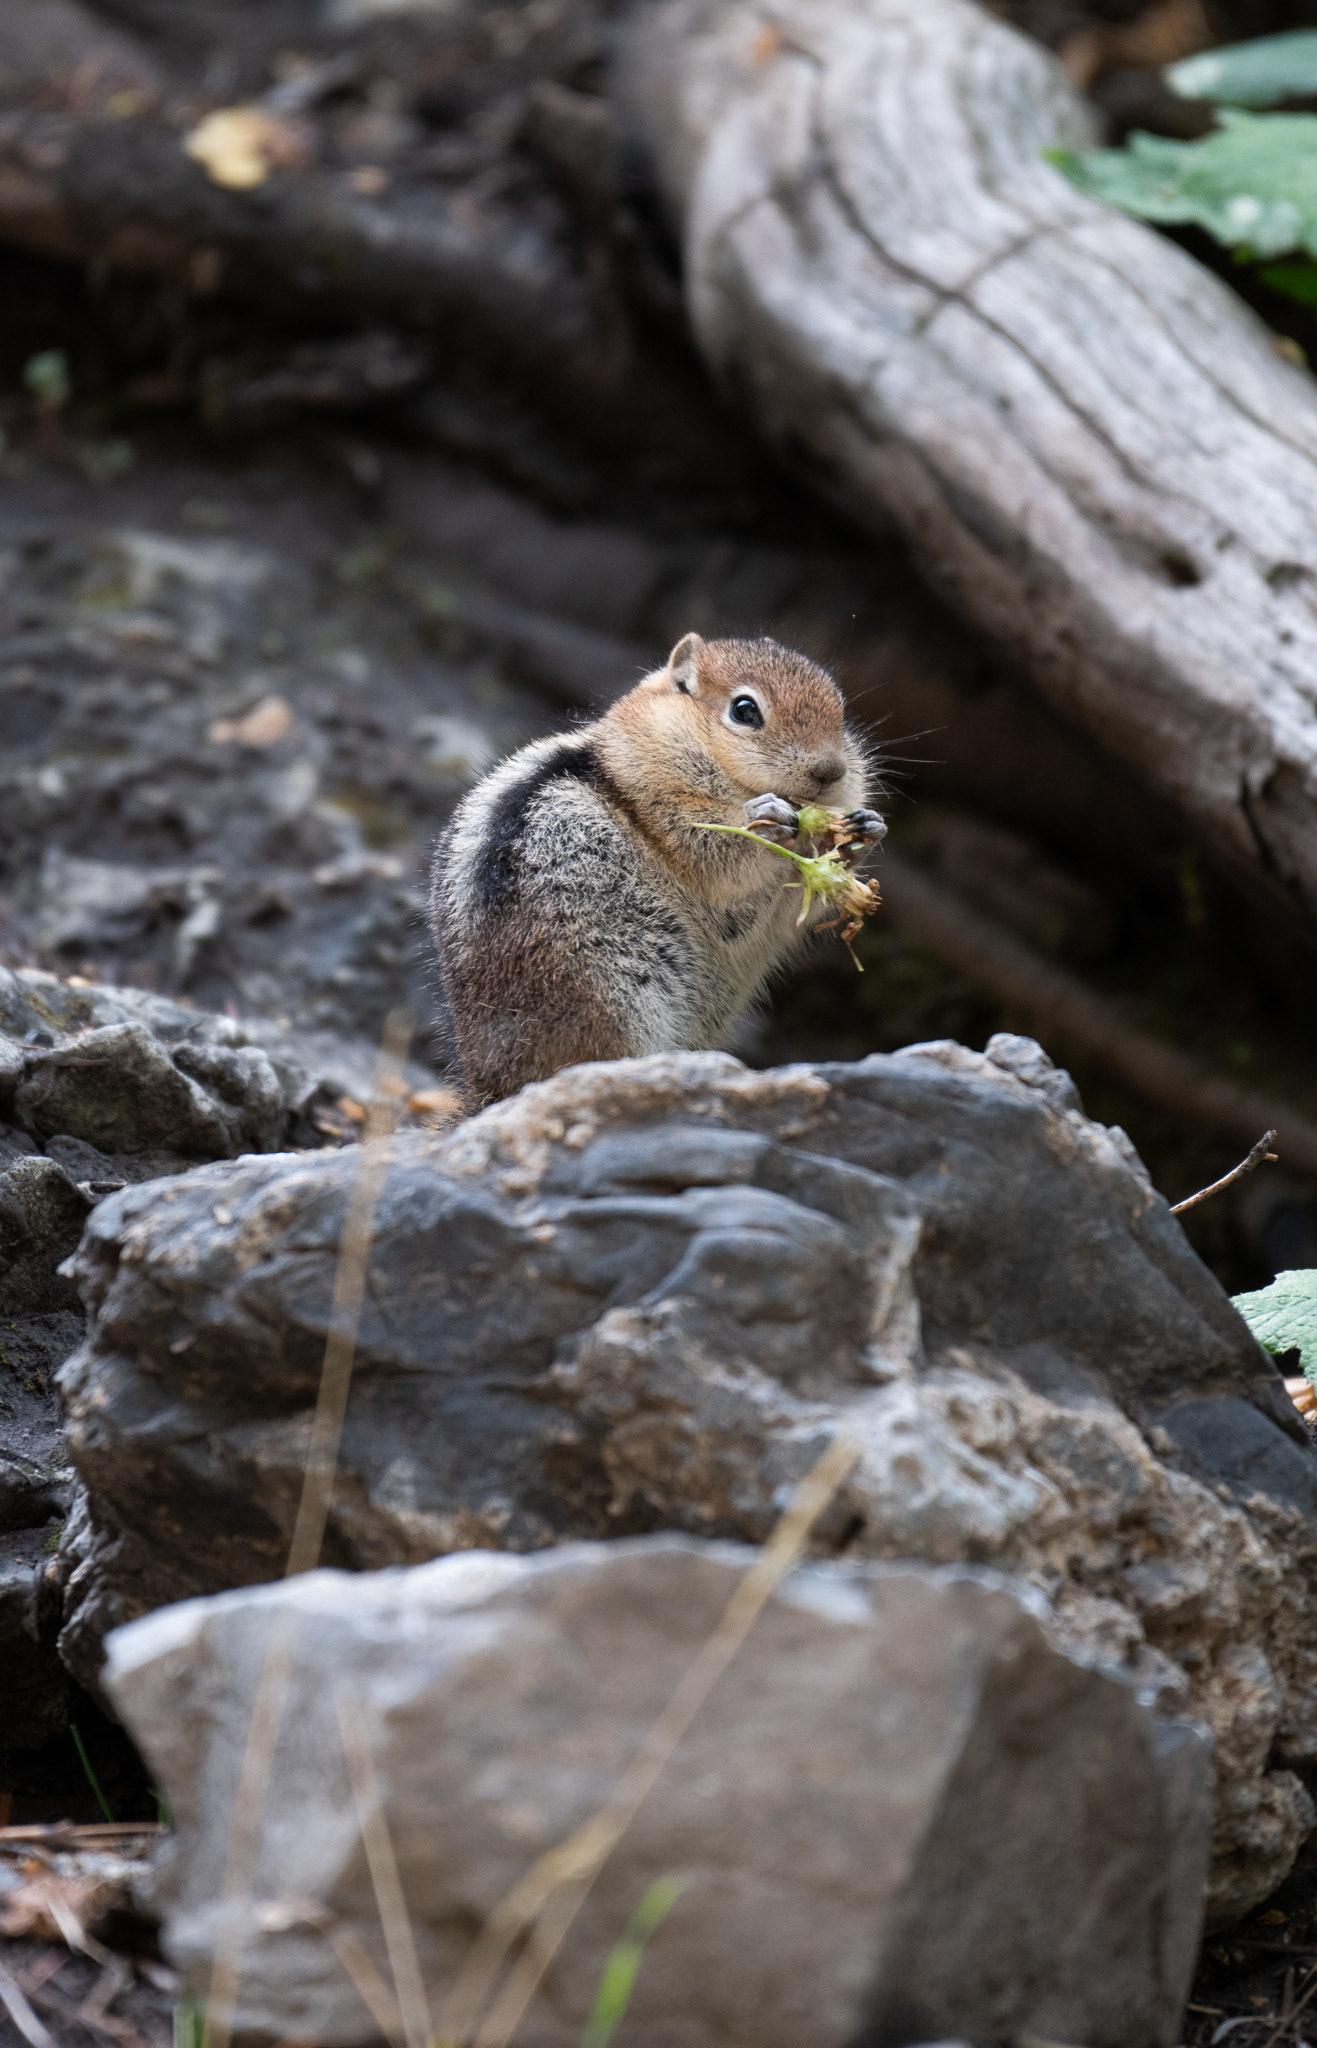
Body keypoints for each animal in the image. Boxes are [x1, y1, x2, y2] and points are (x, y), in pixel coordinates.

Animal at [429, 632, 884, 1108]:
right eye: (745, 710)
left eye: (840, 708)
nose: (830, 771)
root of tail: (491, 1087)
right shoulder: (661, 804)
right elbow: (715, 852)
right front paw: (765, 816)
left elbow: (789, 909)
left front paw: (863, 830)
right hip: (611, 995)